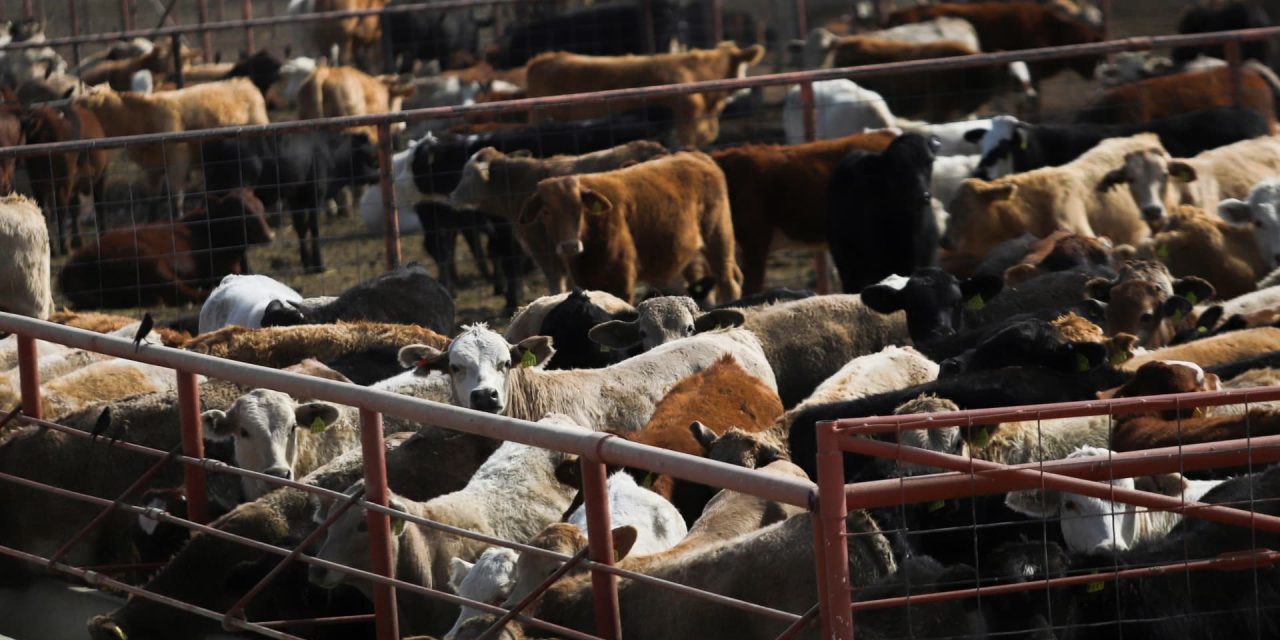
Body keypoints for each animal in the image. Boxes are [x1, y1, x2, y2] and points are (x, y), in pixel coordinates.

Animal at [58, 190, 273, 309]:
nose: (269, 235)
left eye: (261, 208)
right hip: (152, 263)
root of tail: (70, 266)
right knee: (182, 291)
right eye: (241, 212)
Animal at [518, 152, 741, 303]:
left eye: (579, 208)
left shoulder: (622, 280)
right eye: (546, 212)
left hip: (719, 241)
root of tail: (697, 156)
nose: (569, 246)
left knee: (728, 283)